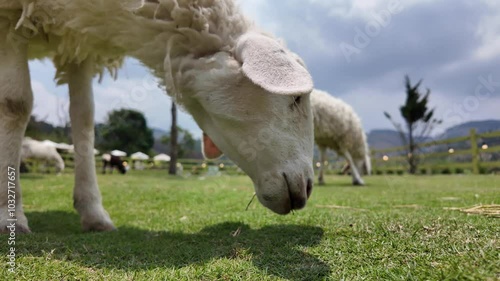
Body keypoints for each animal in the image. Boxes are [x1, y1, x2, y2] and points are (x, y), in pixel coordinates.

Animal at [0, 0, 312, 232]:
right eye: (296, 99)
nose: (307, 187)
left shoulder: (77, 38)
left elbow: (84, 118)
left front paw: (93, 213)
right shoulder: (11, 17)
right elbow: (15, 104)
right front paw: (10, 216)